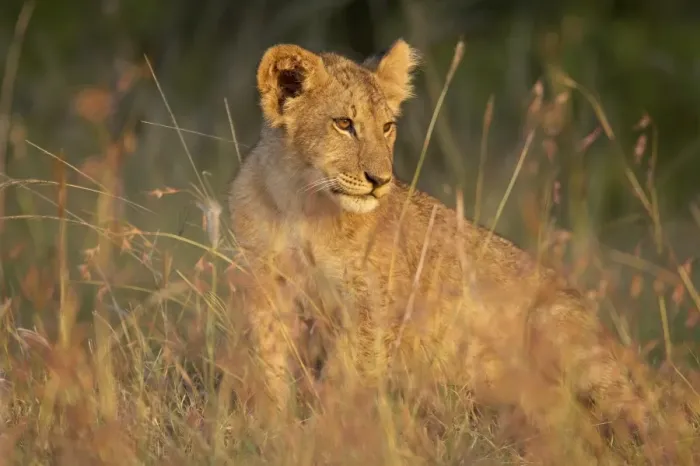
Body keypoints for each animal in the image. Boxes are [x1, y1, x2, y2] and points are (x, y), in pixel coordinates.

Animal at [227, 39, 689, 459]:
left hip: (567, 338)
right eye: (343, 123)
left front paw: (327, 437)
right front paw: (272, 433)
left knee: (640, 419)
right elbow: (269, 368)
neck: (300, 203)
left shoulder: (371, 304)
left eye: (387, 127)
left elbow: (346, 378)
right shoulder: (267, 290)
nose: (380, 180)